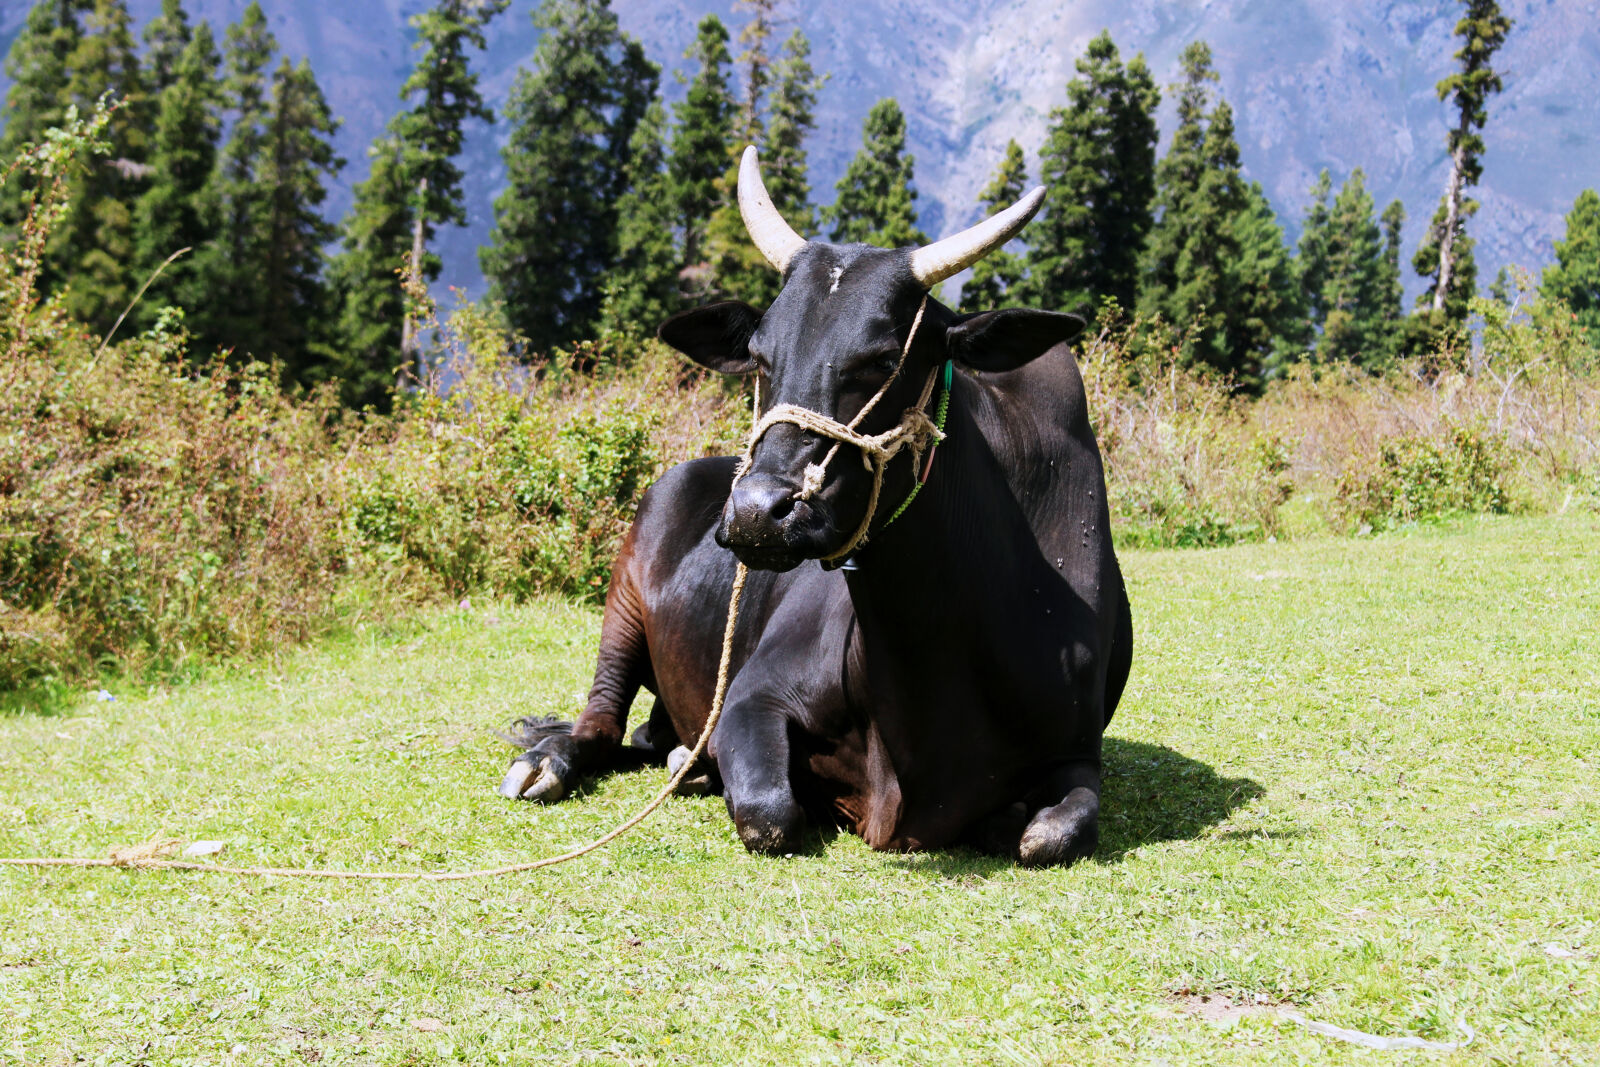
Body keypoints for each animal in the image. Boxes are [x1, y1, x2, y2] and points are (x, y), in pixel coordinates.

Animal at [498, 147, 1132, 867]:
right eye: (759, 354)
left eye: (883, 358)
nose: (754, 511)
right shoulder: (753, 697)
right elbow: (770, 815)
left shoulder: (1077, 752)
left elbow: (1053, 833)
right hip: (622, 603)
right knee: (602, 722)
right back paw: (556, 761)